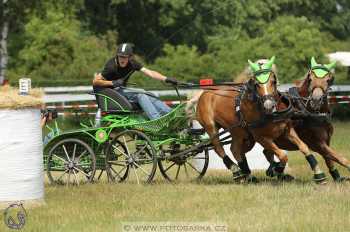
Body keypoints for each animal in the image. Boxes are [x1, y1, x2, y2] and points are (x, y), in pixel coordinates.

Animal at [196, 56, 326, 183]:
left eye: (273, 81)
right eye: (257, 83)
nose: (269, 105)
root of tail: (205, 92)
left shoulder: (288, 131)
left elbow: (304, 147)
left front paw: (319, 174)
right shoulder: (262, 138)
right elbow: (282, 155)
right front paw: (276, 170)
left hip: (239, 132)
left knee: (235, 149)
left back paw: (247, 175)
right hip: (211, 127)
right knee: (219, 148)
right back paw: (236, 172)